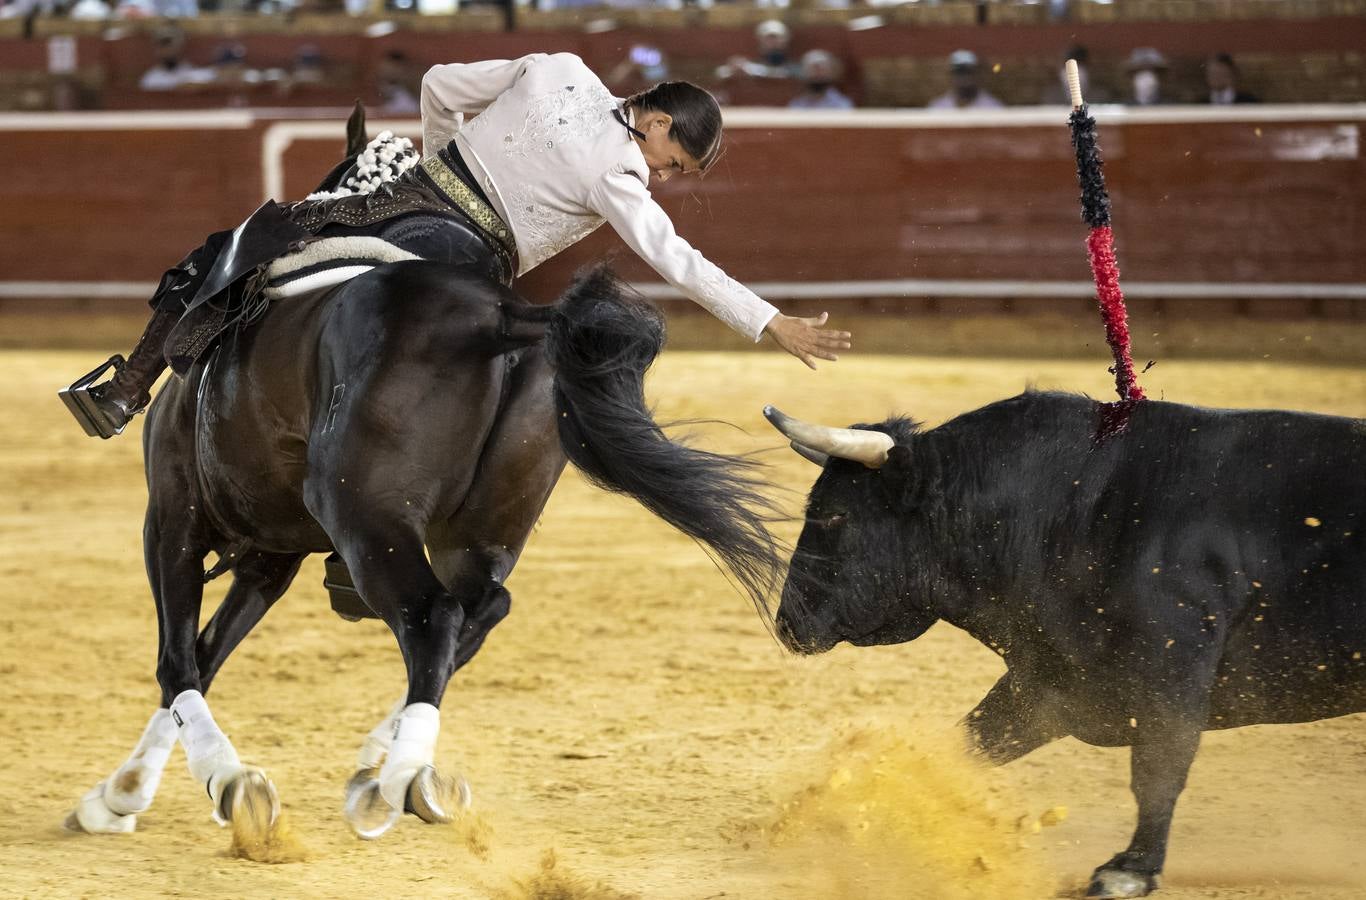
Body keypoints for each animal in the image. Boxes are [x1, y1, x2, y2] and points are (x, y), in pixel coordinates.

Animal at [64, 156, 786, 846]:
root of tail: (503, 316)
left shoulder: (173, 521)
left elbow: (179, 660)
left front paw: (213, 785)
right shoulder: (272, 556)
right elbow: (207, 653)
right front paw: (118, 798)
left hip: (368, 525)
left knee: (431, 615)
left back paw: (404, 780)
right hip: (479, 533)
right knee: (478, 611)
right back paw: (376, 775)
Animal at [775, 393, 1360, 900]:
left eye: (835, 513)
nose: (787, 623)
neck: (1075, 511)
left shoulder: (1172, 676)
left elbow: (1158, 770)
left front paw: (1129, 871)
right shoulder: (1050, 683)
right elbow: (965, 746)